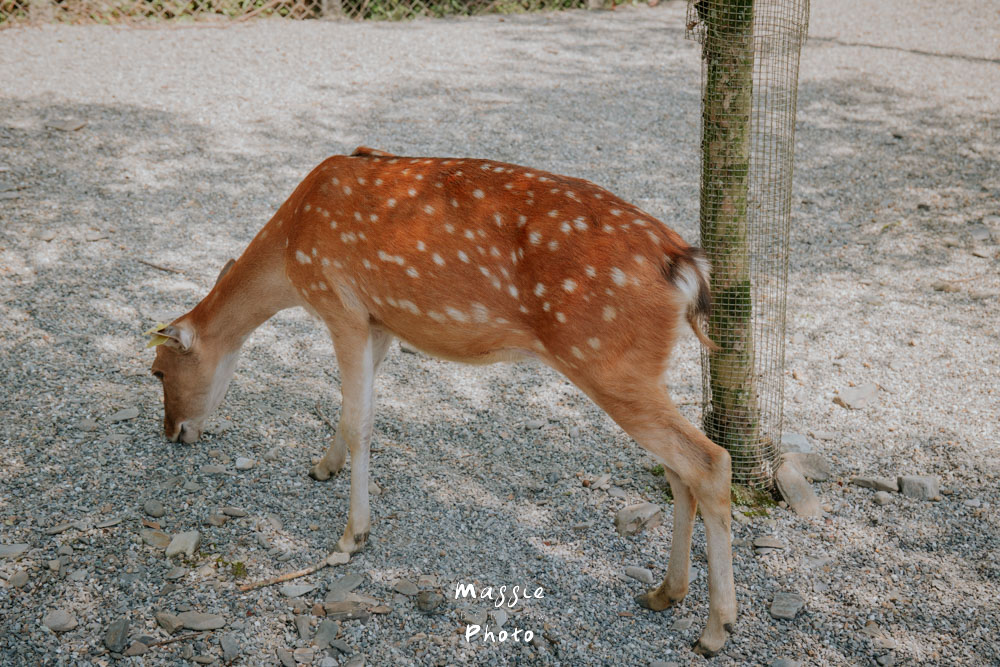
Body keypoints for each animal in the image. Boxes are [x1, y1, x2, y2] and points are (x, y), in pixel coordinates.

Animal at [147, 146, 737, 657]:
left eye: (156, 371)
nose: (172, 431)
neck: (291, 255)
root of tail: (687, 267)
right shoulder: (380, 321)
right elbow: (351, 407)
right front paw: (322, 466)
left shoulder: (340, 305)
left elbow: (361, 420)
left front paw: (351, 536)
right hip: (639, 370)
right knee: (678, 469)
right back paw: (665, 593)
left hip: (606, 360)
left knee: (710, 460)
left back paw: (715, 629)